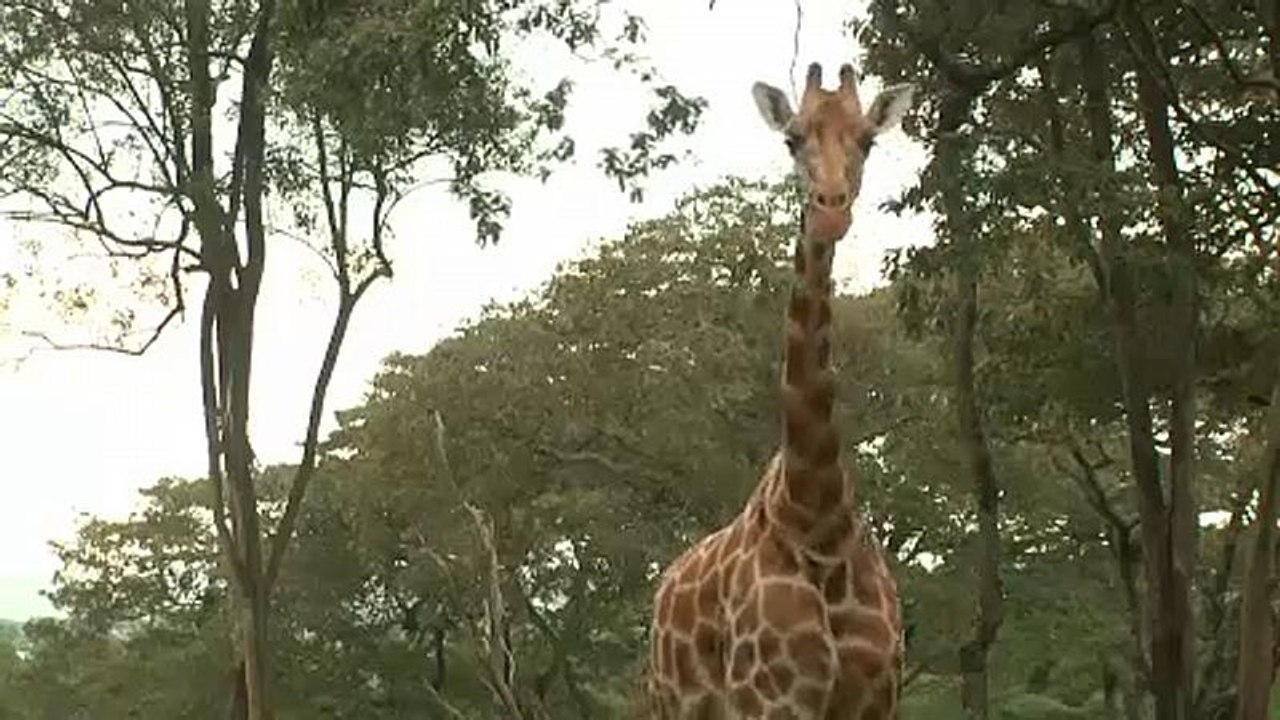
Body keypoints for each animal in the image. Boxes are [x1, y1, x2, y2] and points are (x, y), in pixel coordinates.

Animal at [645, 61, 917, 720]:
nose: (830, 209)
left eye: (868, 140)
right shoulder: (771, 700)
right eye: (792, 139)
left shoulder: (878, 699)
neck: (820, 520)